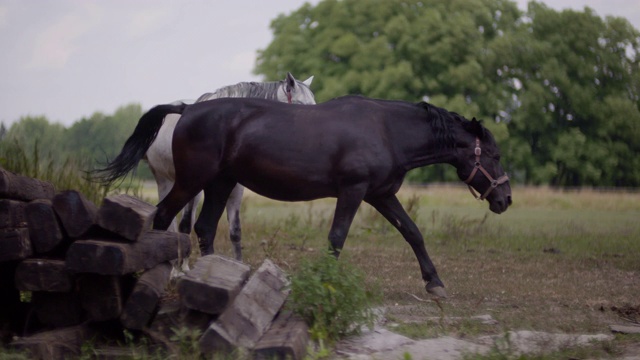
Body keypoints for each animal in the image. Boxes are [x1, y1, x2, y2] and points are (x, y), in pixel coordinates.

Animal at [97, 95, 512, 298]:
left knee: (204, 228)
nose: (504, 200)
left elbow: (413, 233)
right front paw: (324, 282)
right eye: (493, 155)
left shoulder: (380, 195)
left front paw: (434, 283)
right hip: (191, 182)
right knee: (165, 218)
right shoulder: (354, 191)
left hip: (220, 184)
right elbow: (337, 237)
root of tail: (187, 109)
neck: (386, 130)